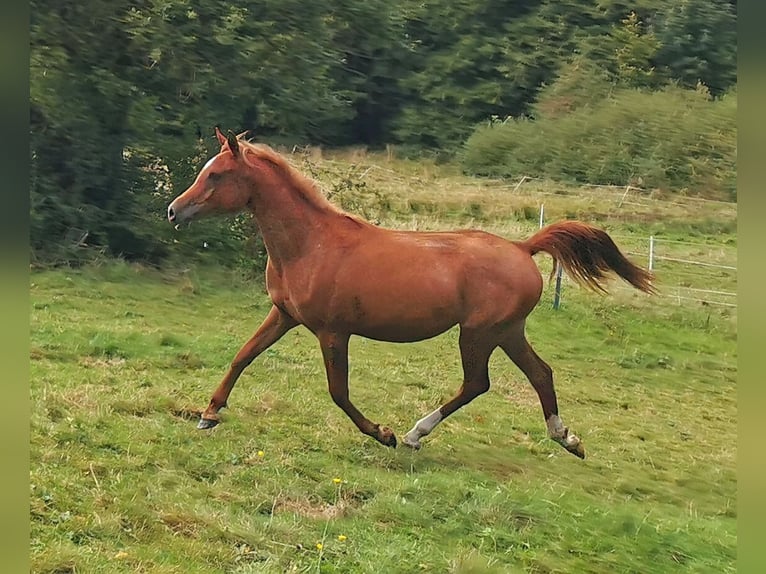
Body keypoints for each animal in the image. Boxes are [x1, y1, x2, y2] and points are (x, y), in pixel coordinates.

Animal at [166, 128, 656, 462]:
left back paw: (414, 434)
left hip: (478, 334)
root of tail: (522, 248)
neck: (311, 244)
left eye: (218, 175)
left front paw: (381, 433)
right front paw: (209, 413)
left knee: (478, 383)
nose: (173, 211)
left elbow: (338, 391)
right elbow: (243, 356)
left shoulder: (332, 332)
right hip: (507, 331)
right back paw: (567, 438)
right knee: (541, 374)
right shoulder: (283, 314)